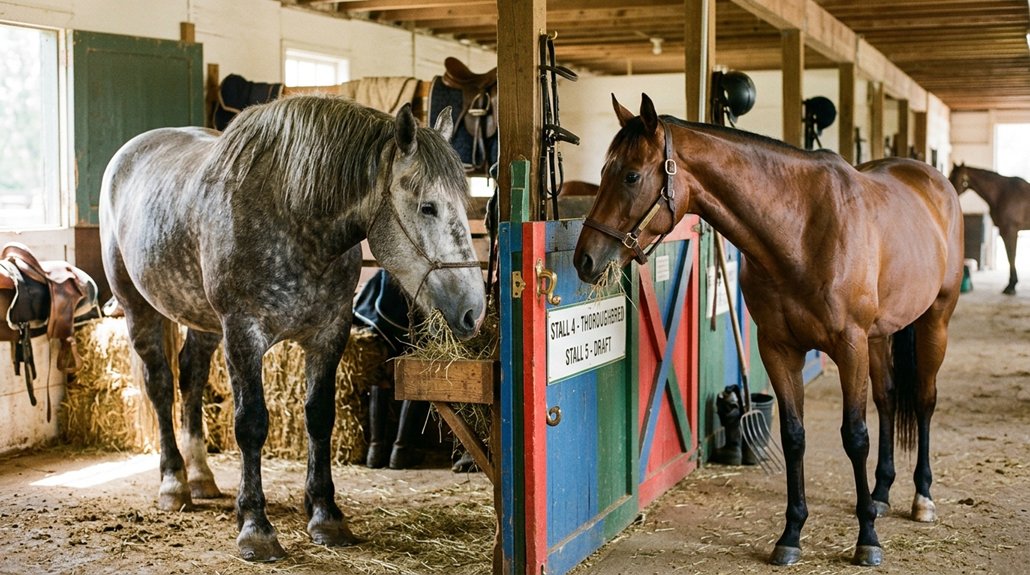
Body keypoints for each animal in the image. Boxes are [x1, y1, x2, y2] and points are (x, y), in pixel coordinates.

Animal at [99, 95, 486, 561]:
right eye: (428, 206)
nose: (473, 310)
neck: (291, 214)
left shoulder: (329, 334)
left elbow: (319, 417)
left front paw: (325, 515)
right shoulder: (243, 335)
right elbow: (250, 424)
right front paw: (255, 527)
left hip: (203, 323)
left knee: (191, 380)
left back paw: (201, 477)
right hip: (139, 309)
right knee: (159, 385)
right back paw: (174, 484)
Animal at [574, 94, 962, 566]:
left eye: (631, 175)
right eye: (603, 173)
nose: (585, 260)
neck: (802, 227)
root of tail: (932, 180)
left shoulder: (849, 345)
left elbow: (855, 436)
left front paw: (867, 538)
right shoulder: (778, 348)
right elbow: (794, 436)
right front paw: (791, 534)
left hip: (934, 320)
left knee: (924, 400)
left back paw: (922, 497)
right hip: (880, 334)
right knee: (887, 400)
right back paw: (882, 493)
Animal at [949, 163, 1030, 294]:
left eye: (957, 177)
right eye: (951, 175)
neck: (1001, 193)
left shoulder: (1010, 231)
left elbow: (1011, 257)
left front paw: (1011, 286)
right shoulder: (1004, 231)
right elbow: (1010, 257)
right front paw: (1011, 284)